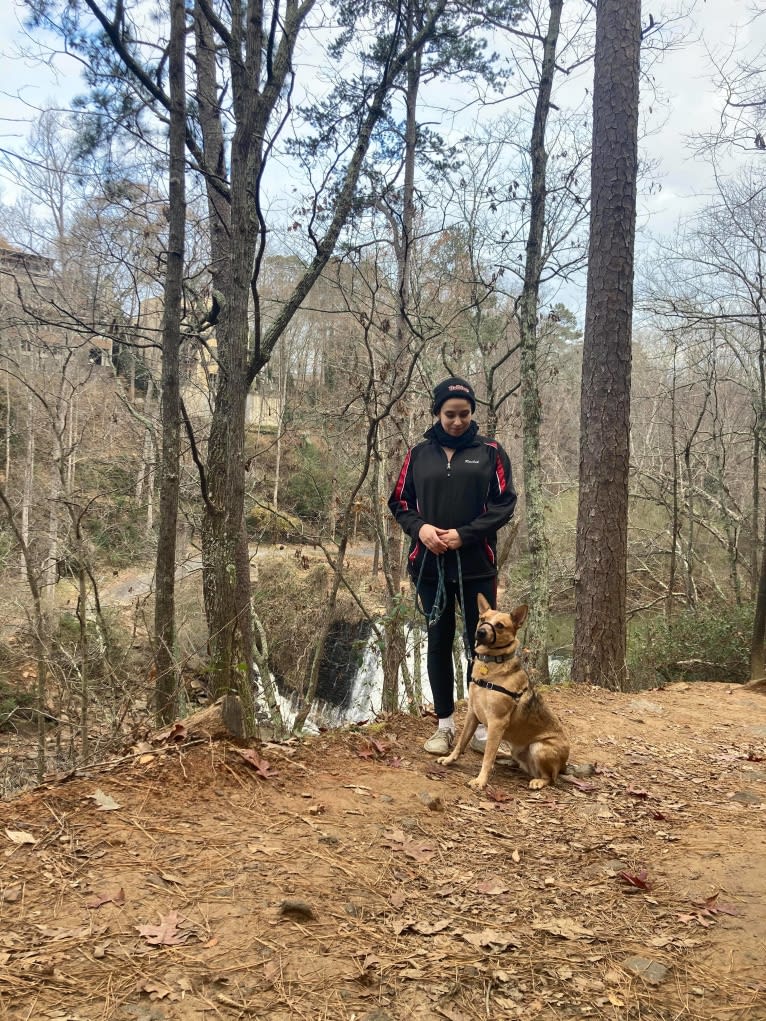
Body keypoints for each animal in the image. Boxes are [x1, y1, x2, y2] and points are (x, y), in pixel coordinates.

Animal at [437, 596, 571, 788]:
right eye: (482, 619)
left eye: (500, 625)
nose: (480, 632)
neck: (492, 665)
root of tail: (564, 765)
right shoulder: (472, 714)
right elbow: (461, 742)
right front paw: (449, 759)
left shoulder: (496, 723)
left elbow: (487, 756)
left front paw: (481, 780)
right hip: (516, 749)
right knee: (515, 760)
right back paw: (505, 759)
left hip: (539, 747)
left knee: (550, 778)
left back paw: (538, 781)